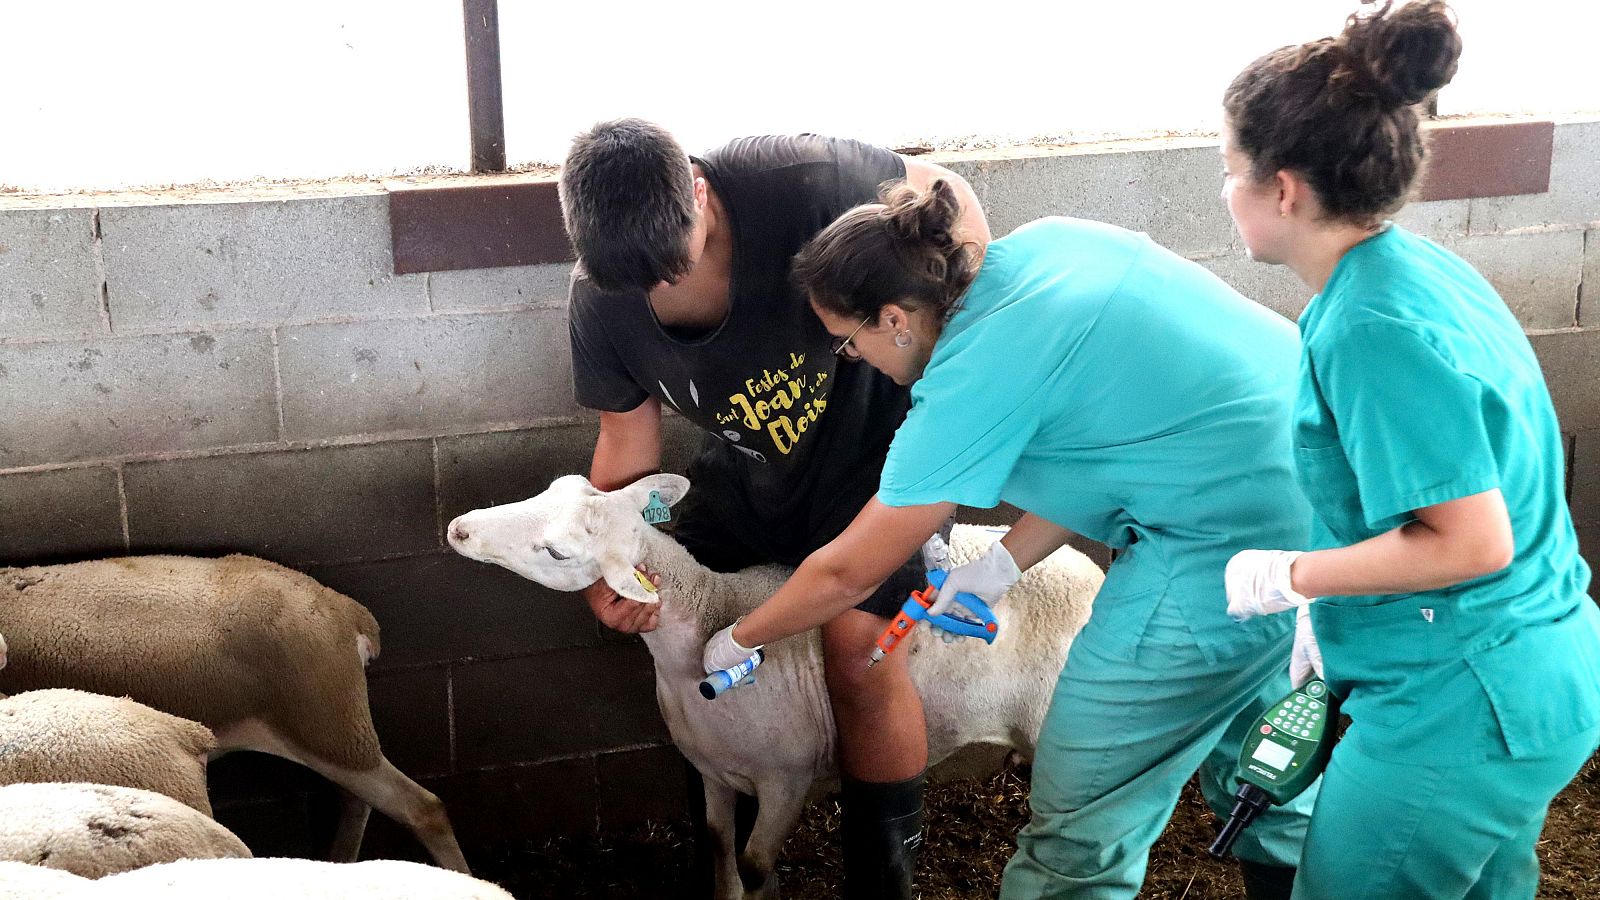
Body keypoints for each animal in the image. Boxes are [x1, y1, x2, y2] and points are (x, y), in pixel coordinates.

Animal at [444, 474, 1107, 890]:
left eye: (556, 552)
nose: (458, 529)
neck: (706, 619)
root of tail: (1092, 569)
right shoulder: (711, 770)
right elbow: (719, 846)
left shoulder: (786, 780)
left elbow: (758, 864)